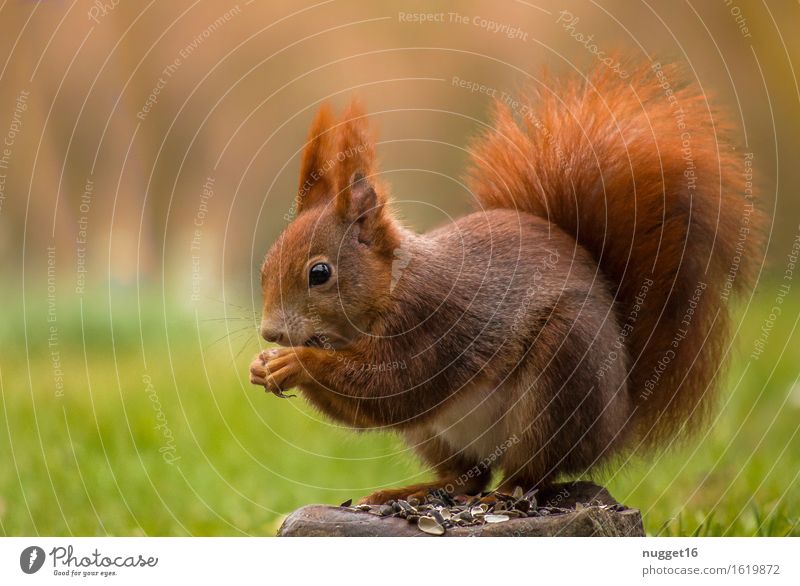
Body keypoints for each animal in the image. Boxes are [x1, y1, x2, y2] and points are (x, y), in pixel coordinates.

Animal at [250, 62, 764, 502]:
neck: (391, 286)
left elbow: (391, 387)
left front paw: (294, 362)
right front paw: (262, 366)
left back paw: (510, 492)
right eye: (264, 268)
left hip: (561, 375)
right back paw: (414, 492)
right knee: (468, 477)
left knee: (533, 470)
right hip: (435, 436)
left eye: (320, 273)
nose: (270, 333)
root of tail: (620, 422)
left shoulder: (430, 320)